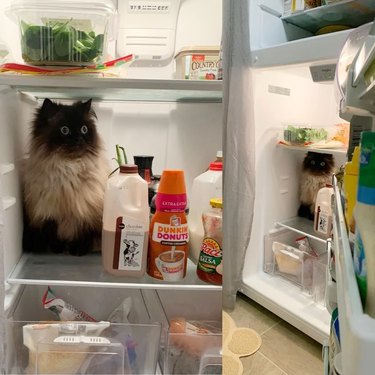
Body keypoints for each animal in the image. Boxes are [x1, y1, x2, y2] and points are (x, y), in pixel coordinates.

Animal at [22, 98, 109, 258]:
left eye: (84, 129)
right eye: (64, 130)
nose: (79, 138)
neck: (69, 168)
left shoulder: (86, 215)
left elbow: (83, 237)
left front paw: (77, 252)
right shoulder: (49, 215)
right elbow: (54, 237)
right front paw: (58, 250)